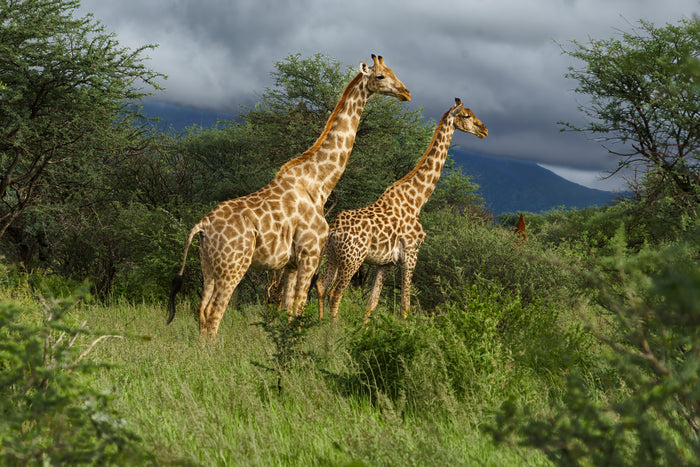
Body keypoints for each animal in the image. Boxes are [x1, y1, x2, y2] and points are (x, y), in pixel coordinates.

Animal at [168, 55, 411, 339]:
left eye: (393, 71)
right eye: (381, 76)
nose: (406, 93)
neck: (319, 183)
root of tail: (202, 226)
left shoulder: (291, 264)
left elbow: (287, 311)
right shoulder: (310, 254)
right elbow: (299, 309)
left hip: (208, 265)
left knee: (201, 310)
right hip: (234, 266)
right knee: (215, 311)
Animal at [316, 98, 488, 324]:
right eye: (466, 115)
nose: (484, 130)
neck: (417, 200)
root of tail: (334, 230)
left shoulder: (385, 263)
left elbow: (371, 304)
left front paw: (365, 331)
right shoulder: (411, 255)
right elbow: (405, 306)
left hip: (333, 256)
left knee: (321, 286)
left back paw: (313, 324)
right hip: (353, 259)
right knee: (335, 293)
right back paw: (332, 328)